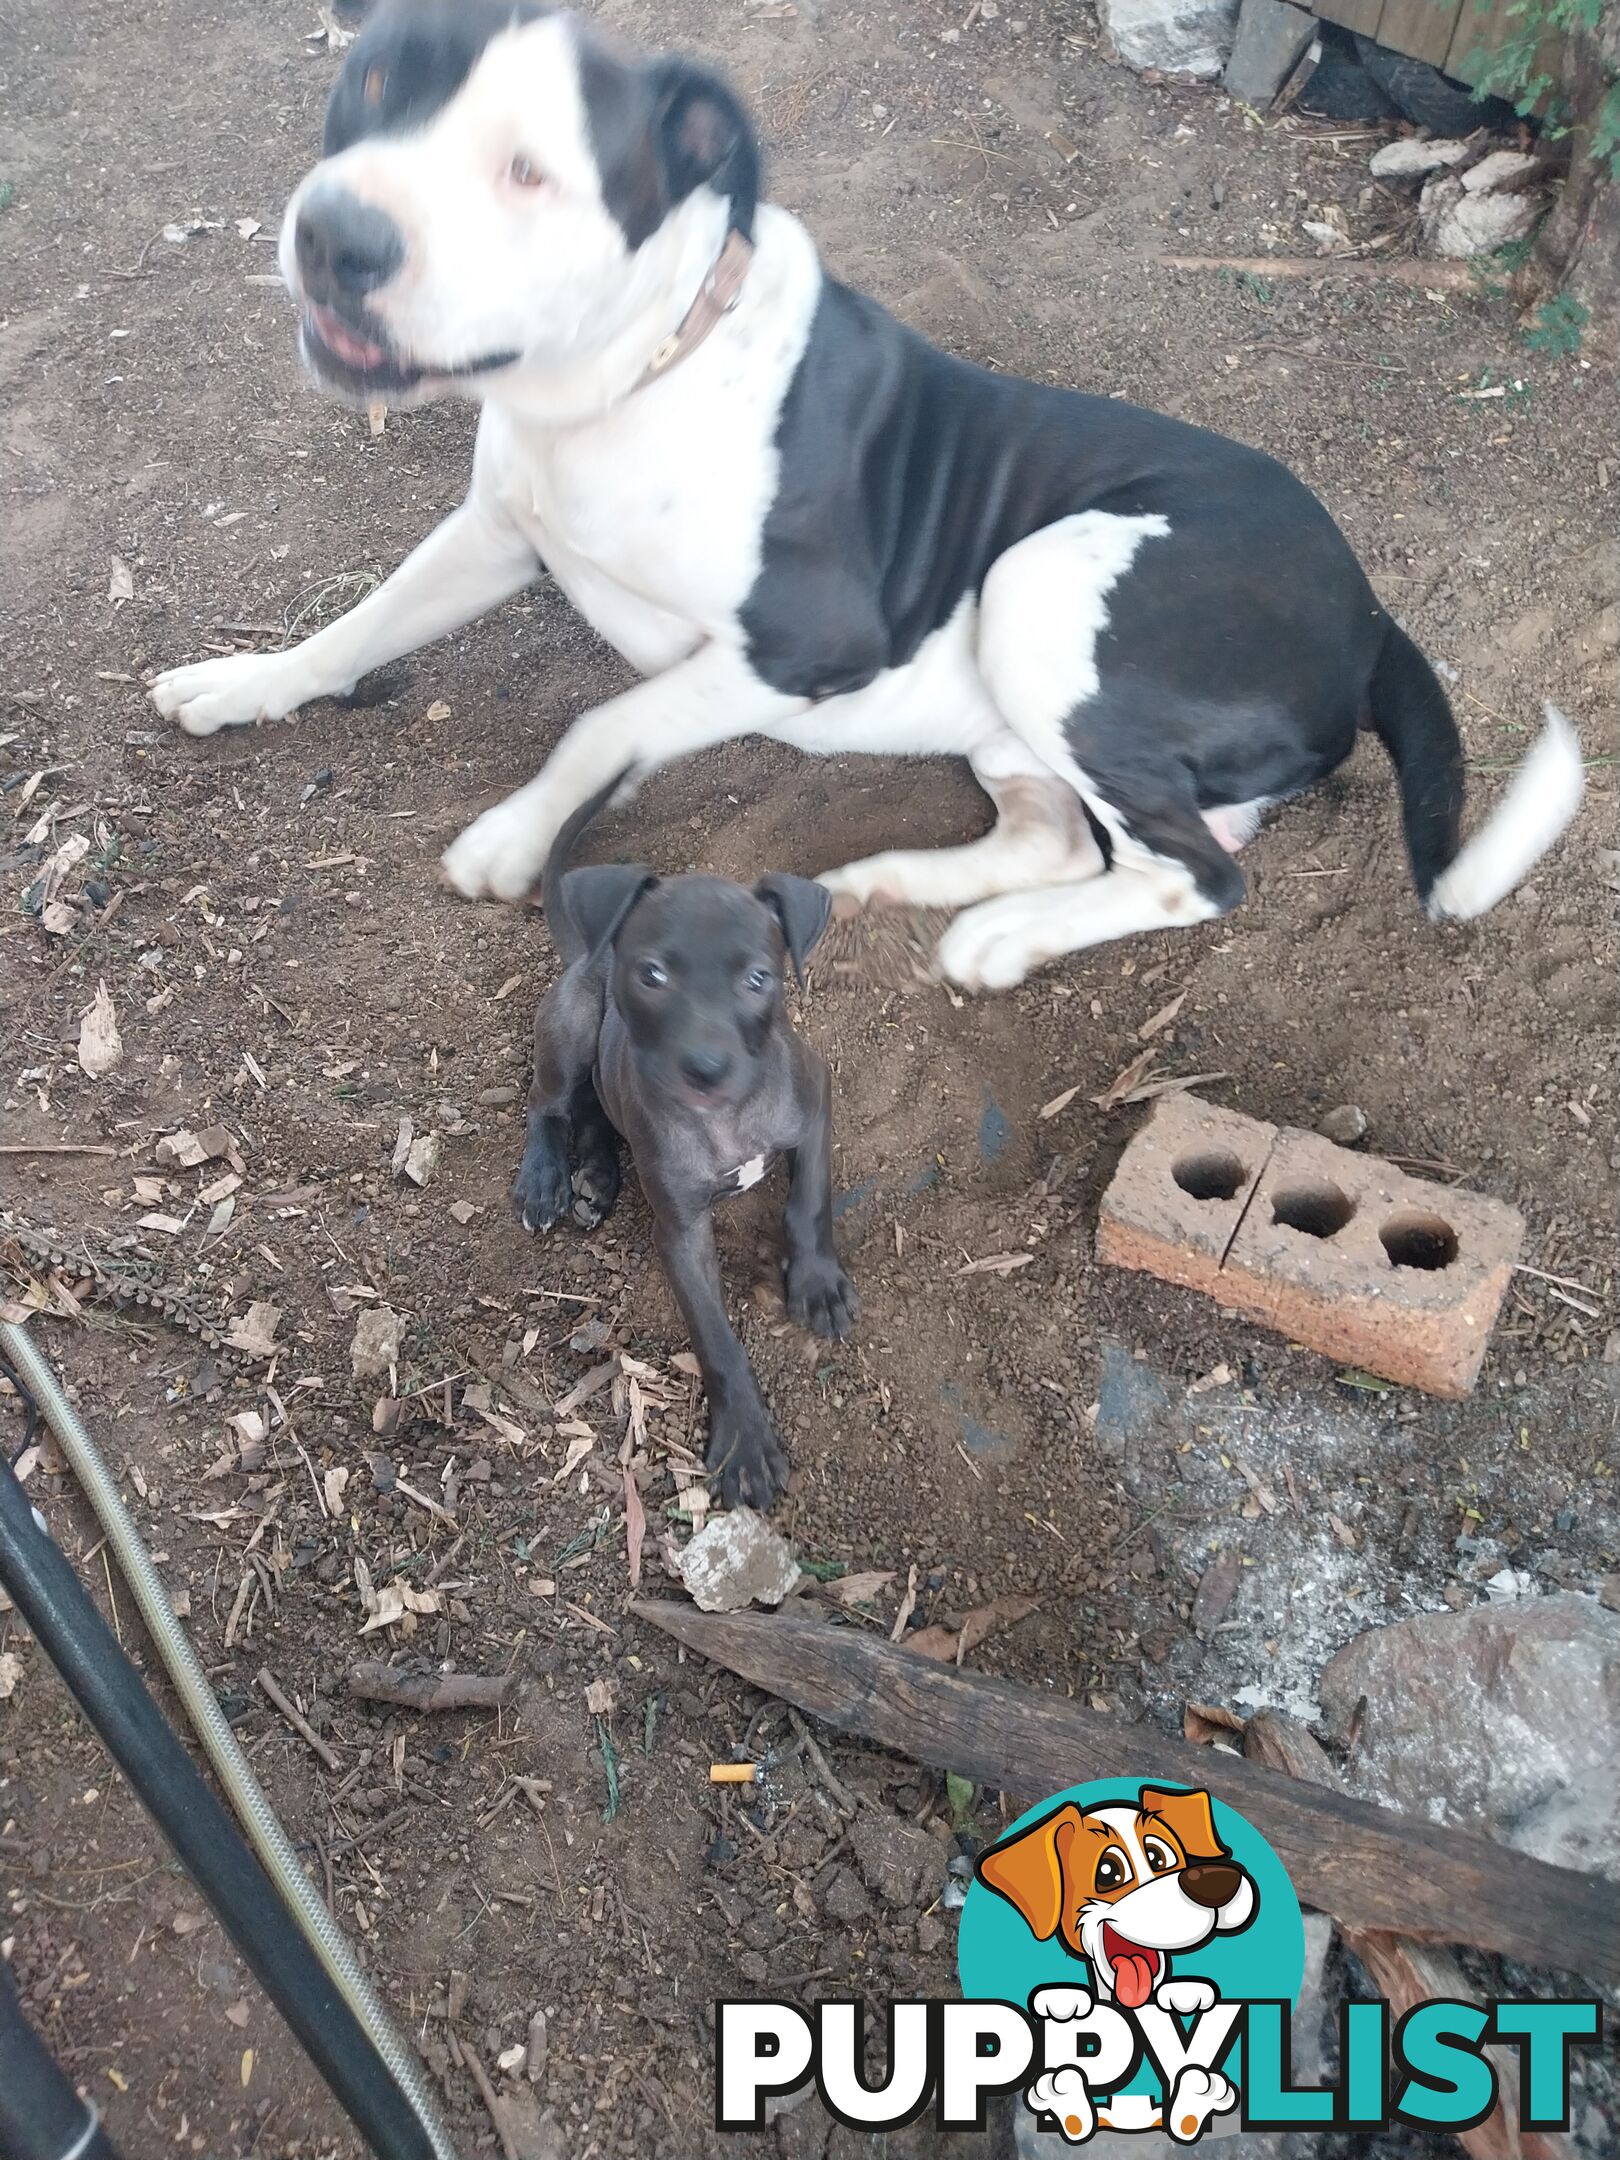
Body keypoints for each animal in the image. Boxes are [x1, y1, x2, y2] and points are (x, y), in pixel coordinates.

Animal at [149, 0, 1589, 993]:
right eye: (367, 85)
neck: (629, 375)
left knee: (1203, 875)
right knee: (1080, 841)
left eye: (530, 169)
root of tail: (1372, 615)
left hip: (1039, 584)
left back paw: (1001, 940)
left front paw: (513, 833)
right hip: (1021, 701)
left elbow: (601, 725)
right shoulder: (496, 535)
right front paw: (244, 683)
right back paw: (909, 885)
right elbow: (363, 626)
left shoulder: (800, 650)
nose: (333, 234)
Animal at [516, 786, 851, 1512]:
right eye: (653, 975)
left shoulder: (814, 1099)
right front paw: (744, 1444)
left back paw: (597, 1179)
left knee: (594, 1110)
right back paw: (545, 1180)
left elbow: (809, 1201)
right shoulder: (681, 1233)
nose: (705, 1067)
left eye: (758, 978)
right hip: (572, 1029)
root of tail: (586, 952)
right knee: (549, 1103)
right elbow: (716, 1338)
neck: (726, 1118)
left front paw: (815, 1283)